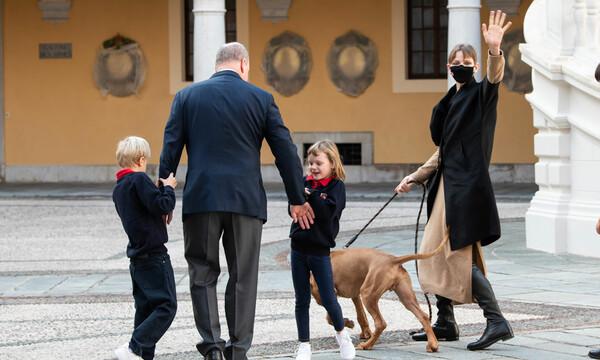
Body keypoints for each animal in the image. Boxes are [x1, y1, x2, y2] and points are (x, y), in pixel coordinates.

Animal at [310, 238, 446, 352]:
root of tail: (392, 259)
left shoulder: (326, 296)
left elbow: (330, 317)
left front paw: (346, 322)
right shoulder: (355, 295)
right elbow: (360, 316)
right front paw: (357, 328)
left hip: (368, 294)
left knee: (381, 323)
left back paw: (367, 345)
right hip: (405, 297)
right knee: (423, 316)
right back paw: (433, 345)